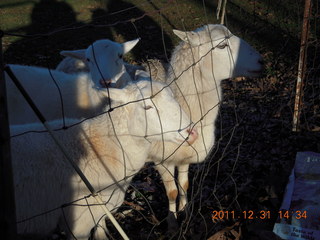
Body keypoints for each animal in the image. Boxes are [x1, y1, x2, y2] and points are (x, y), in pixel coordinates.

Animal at [146, 24, 264, 219]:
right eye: (222, 45)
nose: (262, 61)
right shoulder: (161, 161)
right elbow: (172, 192)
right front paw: (172, 221)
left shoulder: (186, 155)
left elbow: (183, 185)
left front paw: (184, 210)